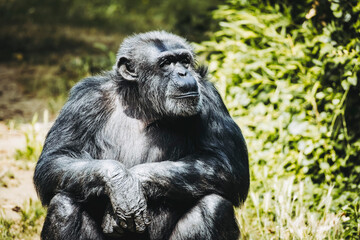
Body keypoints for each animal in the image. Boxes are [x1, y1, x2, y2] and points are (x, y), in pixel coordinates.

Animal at [33, 31, 249, 240]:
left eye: (184, 60)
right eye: (166, 63)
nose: (183, 72)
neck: (141, 105)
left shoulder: (210, 96)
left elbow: (225, 164)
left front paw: (133, 183)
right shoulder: (83, 99)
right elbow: (56, 158)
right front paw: (121, 184)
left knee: (214, 206)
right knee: (64, 206)